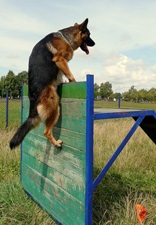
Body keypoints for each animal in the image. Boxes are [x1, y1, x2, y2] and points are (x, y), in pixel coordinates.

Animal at [10, 18, 95, 149]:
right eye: (89, 35)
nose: (94, 43)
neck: (65, 37)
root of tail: (33, 101)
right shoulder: (60, 60)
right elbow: (70, 75)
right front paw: (74, 82)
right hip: (55, 105)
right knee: (46, 132)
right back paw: (56, 143)